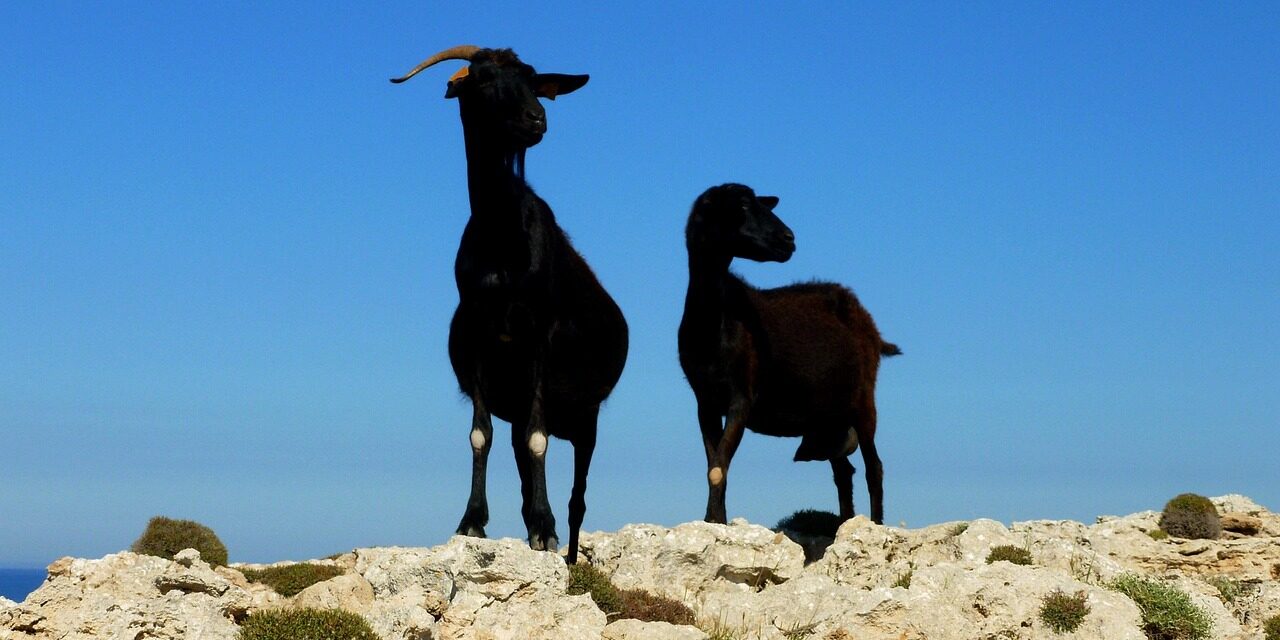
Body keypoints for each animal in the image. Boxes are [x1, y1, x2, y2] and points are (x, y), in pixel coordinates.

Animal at [392, 45, 628, 563]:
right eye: (482, 80)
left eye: (533, 82)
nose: (537, 119)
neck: (502, 244)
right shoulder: (480, 337)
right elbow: (482, 435)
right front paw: (472, 521)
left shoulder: (539, 336)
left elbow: (539, 442)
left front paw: (545, 533)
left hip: (587, 416)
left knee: (577, 496)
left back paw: (564, 545)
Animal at [678, 183, 900, 525]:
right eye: (743, 205)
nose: (789, 239)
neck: (713, 321)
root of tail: (871, 326)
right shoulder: (706, 401)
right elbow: (715, 465)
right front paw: (715, 521)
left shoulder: (742, 395)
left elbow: (717, 468)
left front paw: (713, 522)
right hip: (829, 418)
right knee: (844, 471)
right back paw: (845, 523)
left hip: (863, 399)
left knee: (873, 468)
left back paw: (875, 525)